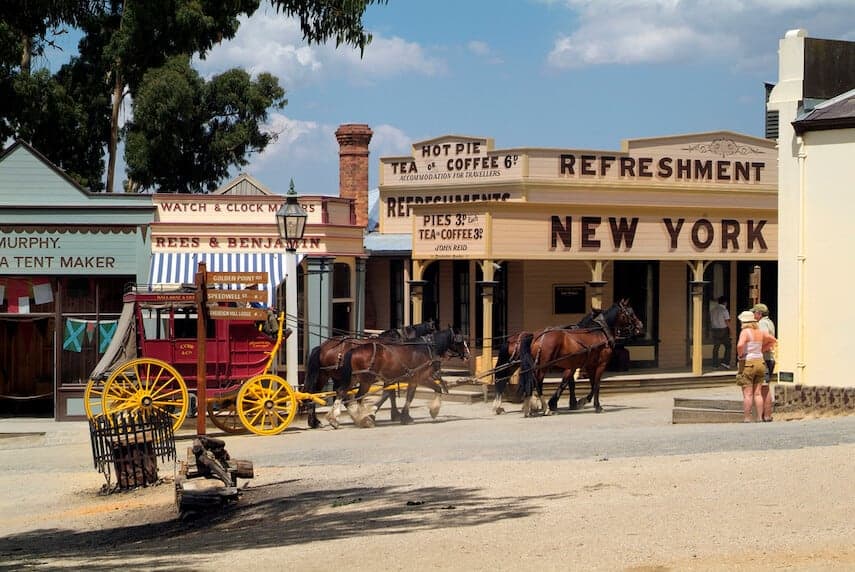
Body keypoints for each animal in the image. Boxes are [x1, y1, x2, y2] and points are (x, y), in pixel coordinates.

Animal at [302, 320, 434, 426]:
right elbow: (390, 393)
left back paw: (317, 421)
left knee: (315, 393)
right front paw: (397, 414)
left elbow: (390, 394)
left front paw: (394, 414)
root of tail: (323, 347)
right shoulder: (390, 376)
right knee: (336, 394)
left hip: (326, 375)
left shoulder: (389, 376)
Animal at [332, 326, 472, 428]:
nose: (468, 356)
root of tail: (354, 350)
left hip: (353, 378)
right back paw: (364, 419)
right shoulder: (421, 378)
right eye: (460, 341)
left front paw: (404, 416)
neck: (424, 348)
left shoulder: (410, 380)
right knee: (358, 397)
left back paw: (334, 419)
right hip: (366, 380)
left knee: (341, 391)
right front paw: (432, 411)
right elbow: (432, 390)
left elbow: (402, 395)